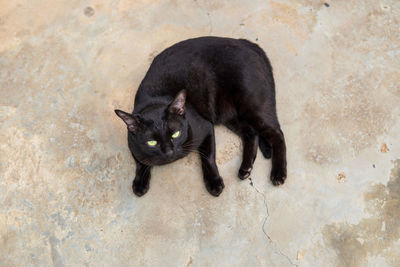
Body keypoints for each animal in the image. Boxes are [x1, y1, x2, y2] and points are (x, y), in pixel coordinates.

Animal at [114, 36, 286, 197]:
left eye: (175, 134)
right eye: (152, 142)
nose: (169, 152)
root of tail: (244, 42)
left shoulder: (206, 127)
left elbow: (208, 158)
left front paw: (214, 183)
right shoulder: (133, 145)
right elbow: (140, 163)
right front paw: (139, 183)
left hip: (251, 106)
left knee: (277, 134)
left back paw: (278, 173)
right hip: (228, 115)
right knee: (251, 132)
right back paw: (245, 168)